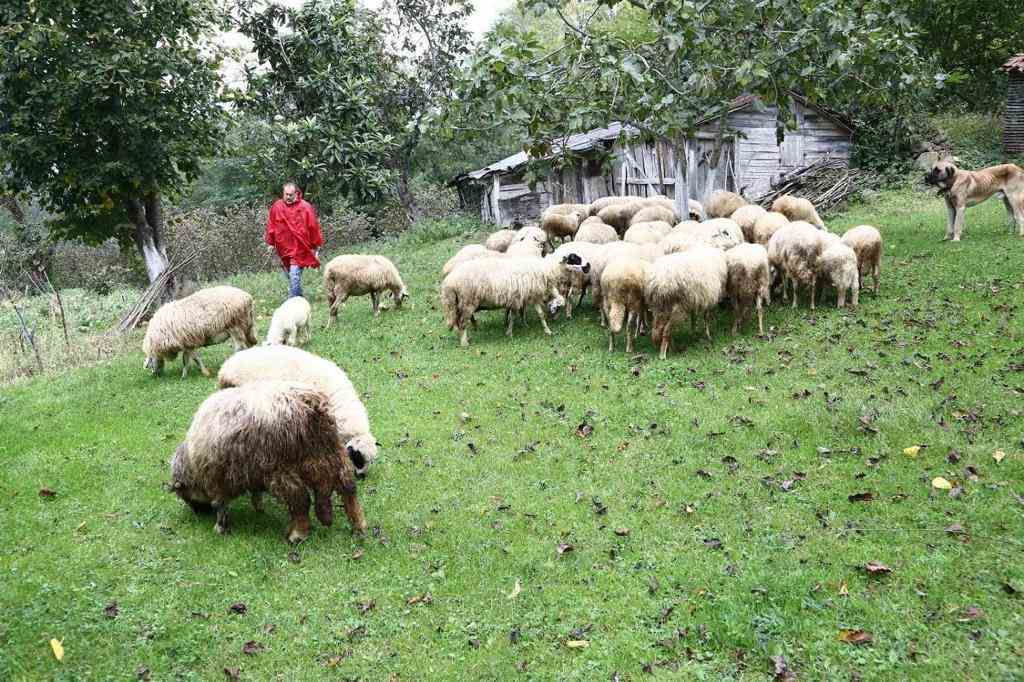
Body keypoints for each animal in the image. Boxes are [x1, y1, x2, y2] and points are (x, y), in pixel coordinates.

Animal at [171, 376, 368, 540]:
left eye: (185, 496)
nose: (200, 515)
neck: (191, 464)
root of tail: (310, 405)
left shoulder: (218, 479)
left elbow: (221, 505)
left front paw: (220, 527)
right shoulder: (249, 471)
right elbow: (255, 494)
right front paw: (259, 508)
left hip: (279, 467)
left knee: (300, 499)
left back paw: (298, 534)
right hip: (329, 453)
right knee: (348, 487)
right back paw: (358, 525)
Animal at [440, 250, 593, 346]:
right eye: (573, 258)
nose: (588, 265)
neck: (547, 269)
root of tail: (449, 282)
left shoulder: (526, 296)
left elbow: (537, 313)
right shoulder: (528, 295)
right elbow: (529, 313)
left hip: (463, 303)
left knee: (460, 321)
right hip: (467, 301)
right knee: (461, 322)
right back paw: (464, 342)